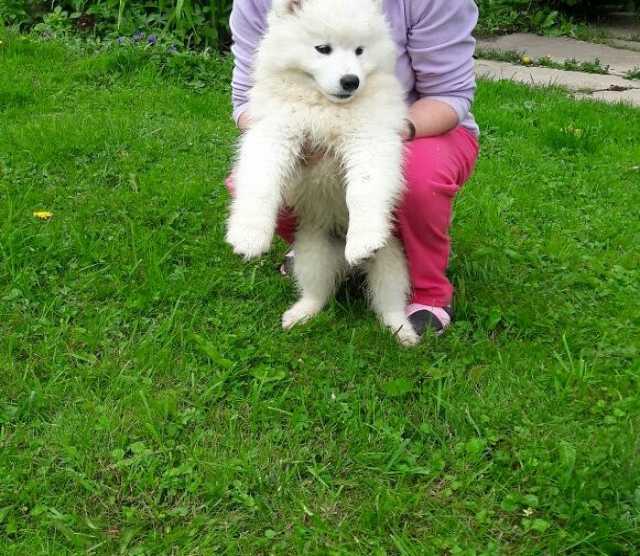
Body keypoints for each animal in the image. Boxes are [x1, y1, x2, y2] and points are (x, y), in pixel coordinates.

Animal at [226, 0, 420, 346]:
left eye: (360, 50)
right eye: (323, 49)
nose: (350, 81)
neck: (325, 108)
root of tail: (347, 267)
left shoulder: (370, 138)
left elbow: (363, 190)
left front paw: (363, 238)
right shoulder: (274, 131)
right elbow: (261, 180)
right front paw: (249, 236)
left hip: (391, 260)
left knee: (389, 301)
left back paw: (403, 331)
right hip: (313, 252)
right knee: (318, 291)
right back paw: (300, 314)